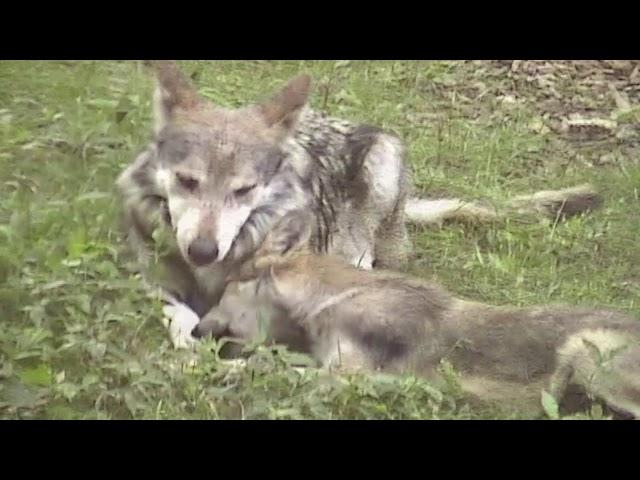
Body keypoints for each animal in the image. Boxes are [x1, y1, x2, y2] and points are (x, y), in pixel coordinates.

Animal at [116, 62, 604, 346]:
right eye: (187, 181)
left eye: (244, 190)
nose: (202, 250)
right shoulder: (153, 281)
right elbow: (177, 313)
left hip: (382, 158)